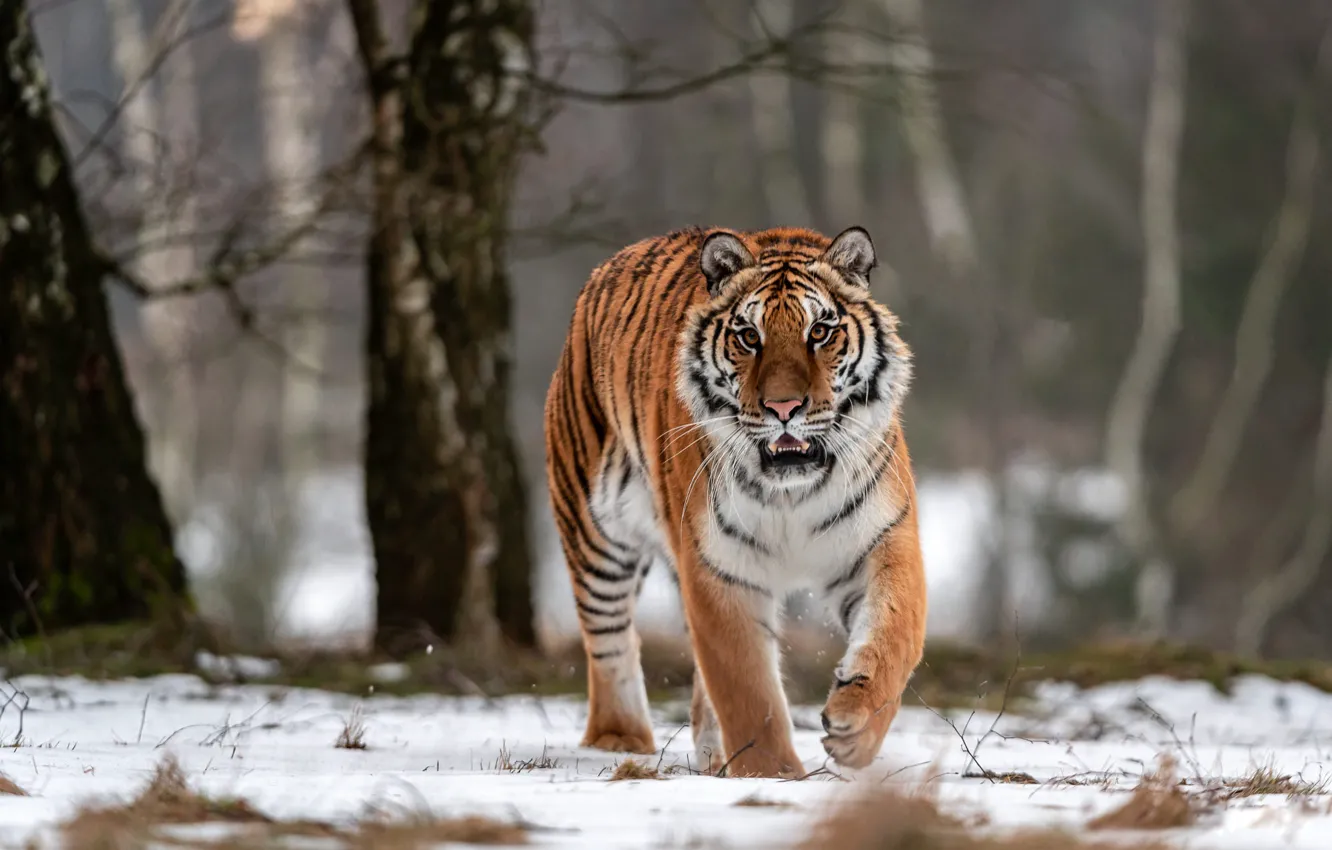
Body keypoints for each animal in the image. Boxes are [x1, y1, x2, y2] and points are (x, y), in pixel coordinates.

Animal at [543, 225, 926, 778]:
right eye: (749, 336)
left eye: (820, 332)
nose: (784, 407)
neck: (792, 491)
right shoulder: (720, 567)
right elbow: (748, 690)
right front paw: (774, 775)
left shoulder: (880, 543)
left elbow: (894, 635)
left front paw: (855, 728)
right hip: (595, 535)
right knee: (610, 642)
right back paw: (620, 741)